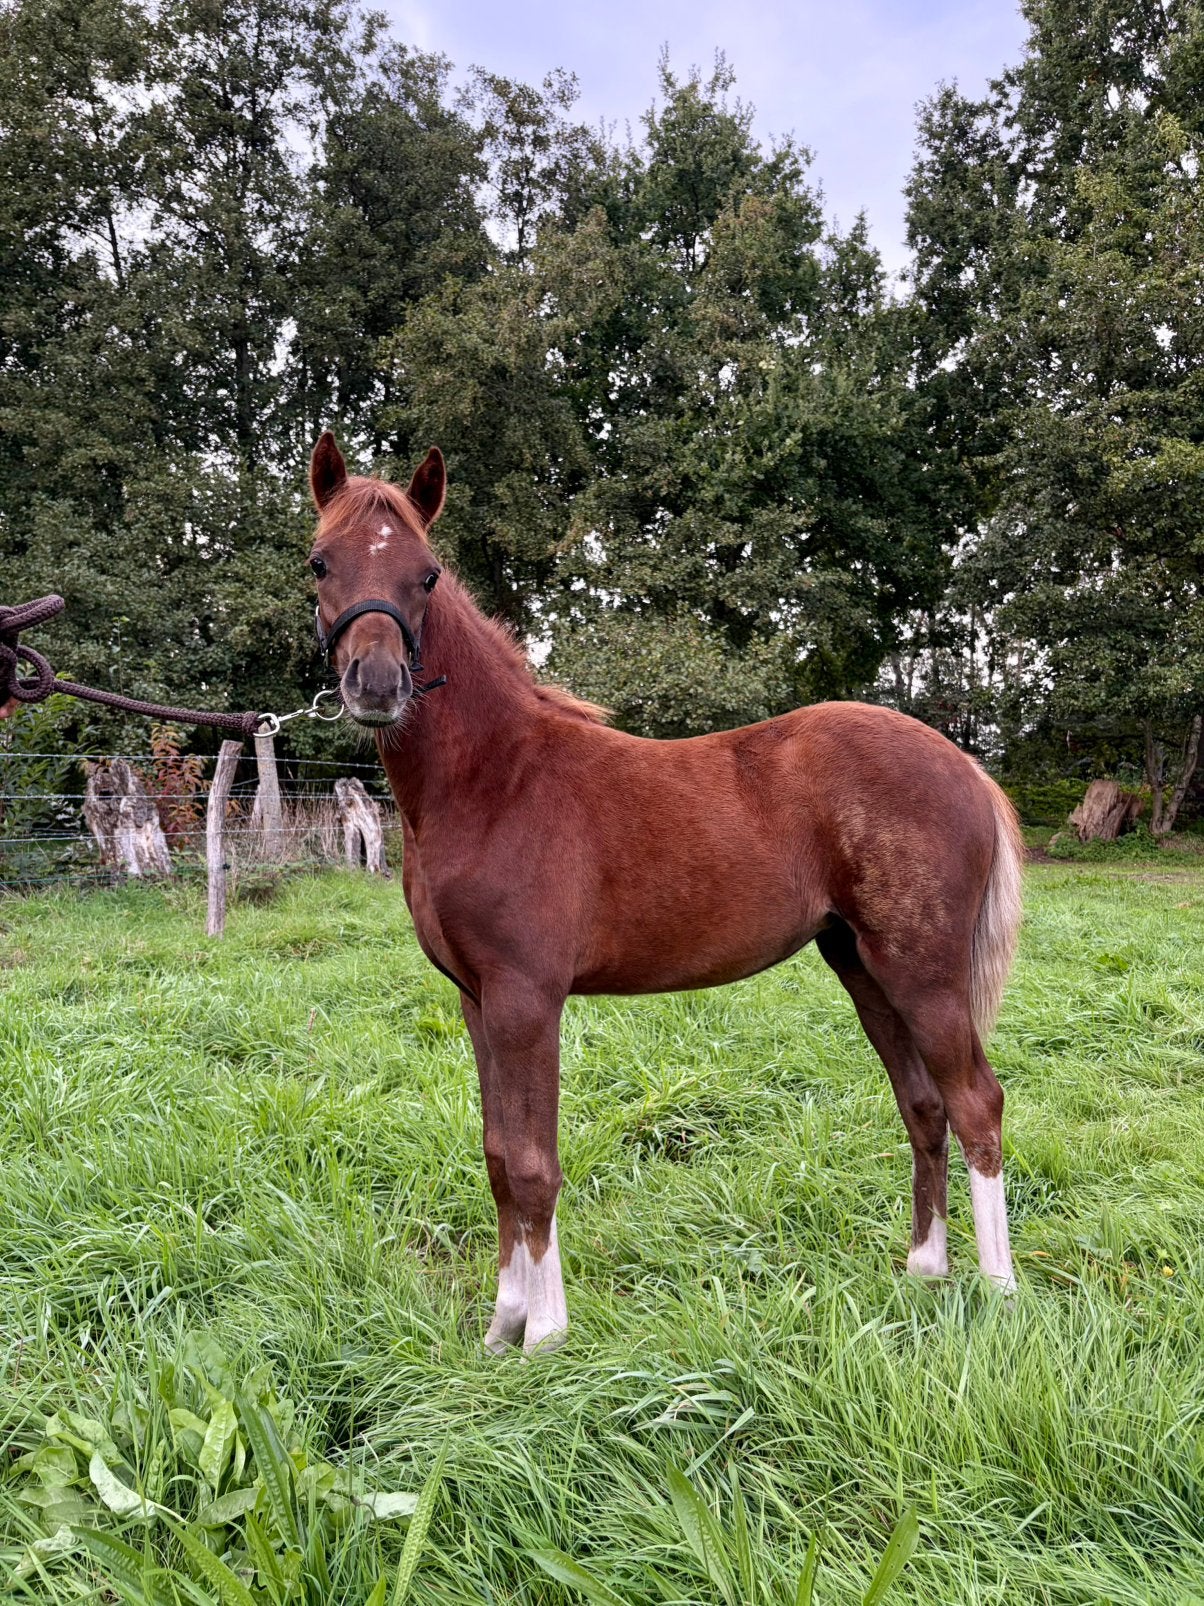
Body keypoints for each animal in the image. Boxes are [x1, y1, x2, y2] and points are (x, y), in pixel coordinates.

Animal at [307, 431, 1025, 1355]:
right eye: (321, 562)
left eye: (427, 575)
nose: (376, 684)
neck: (497, 780)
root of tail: (965, 765)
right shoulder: (475, 998)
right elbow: (499, 1155)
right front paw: (502, 1327)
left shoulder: (527, 998)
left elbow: (534, 1164)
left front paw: (545, 1336)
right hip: (864, 968)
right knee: (925, 1105)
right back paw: (924, 1270)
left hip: (924, 974)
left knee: (976, 1104)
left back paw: (1000, 1291)